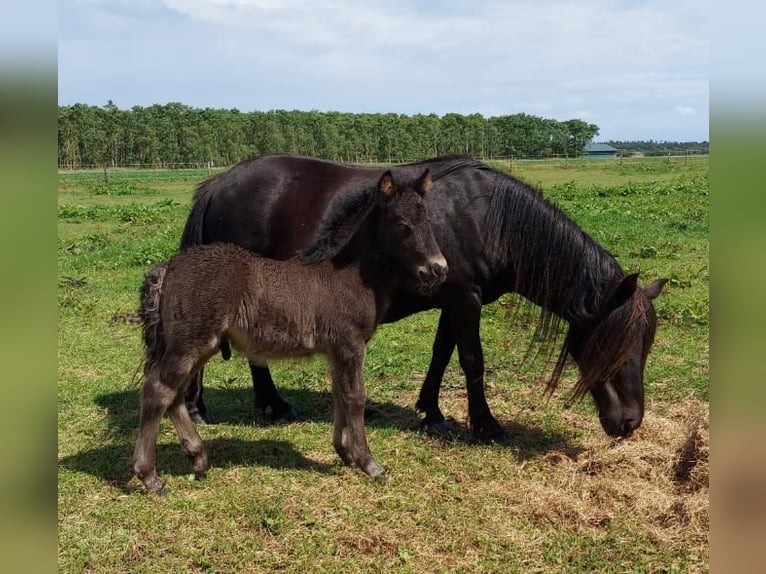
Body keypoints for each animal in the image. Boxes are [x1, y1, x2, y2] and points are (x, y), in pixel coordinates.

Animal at [134, 171, 450, 496]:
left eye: (428, 221)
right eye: (402, 225)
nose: (438, 269)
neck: (346, 275)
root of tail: (169, 267)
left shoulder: (336, 350)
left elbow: (339, 393)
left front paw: (345, 452)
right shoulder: (350, 344)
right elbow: (355, 397)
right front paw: (368, 463)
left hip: (200, 345)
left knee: (175, 393)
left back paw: (198, 459)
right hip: (190, 343)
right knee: (158, 389)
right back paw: (150, 476)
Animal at [178, 153, 664, 440]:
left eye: (645, 346)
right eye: (616, 344)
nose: (629, 423)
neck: (487, 218)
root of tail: (219, 183)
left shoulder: (454, 297)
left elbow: (442, 354)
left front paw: (431, 412)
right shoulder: (466, 298)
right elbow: (472, 360)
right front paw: (485, 424)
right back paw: (269, 405)